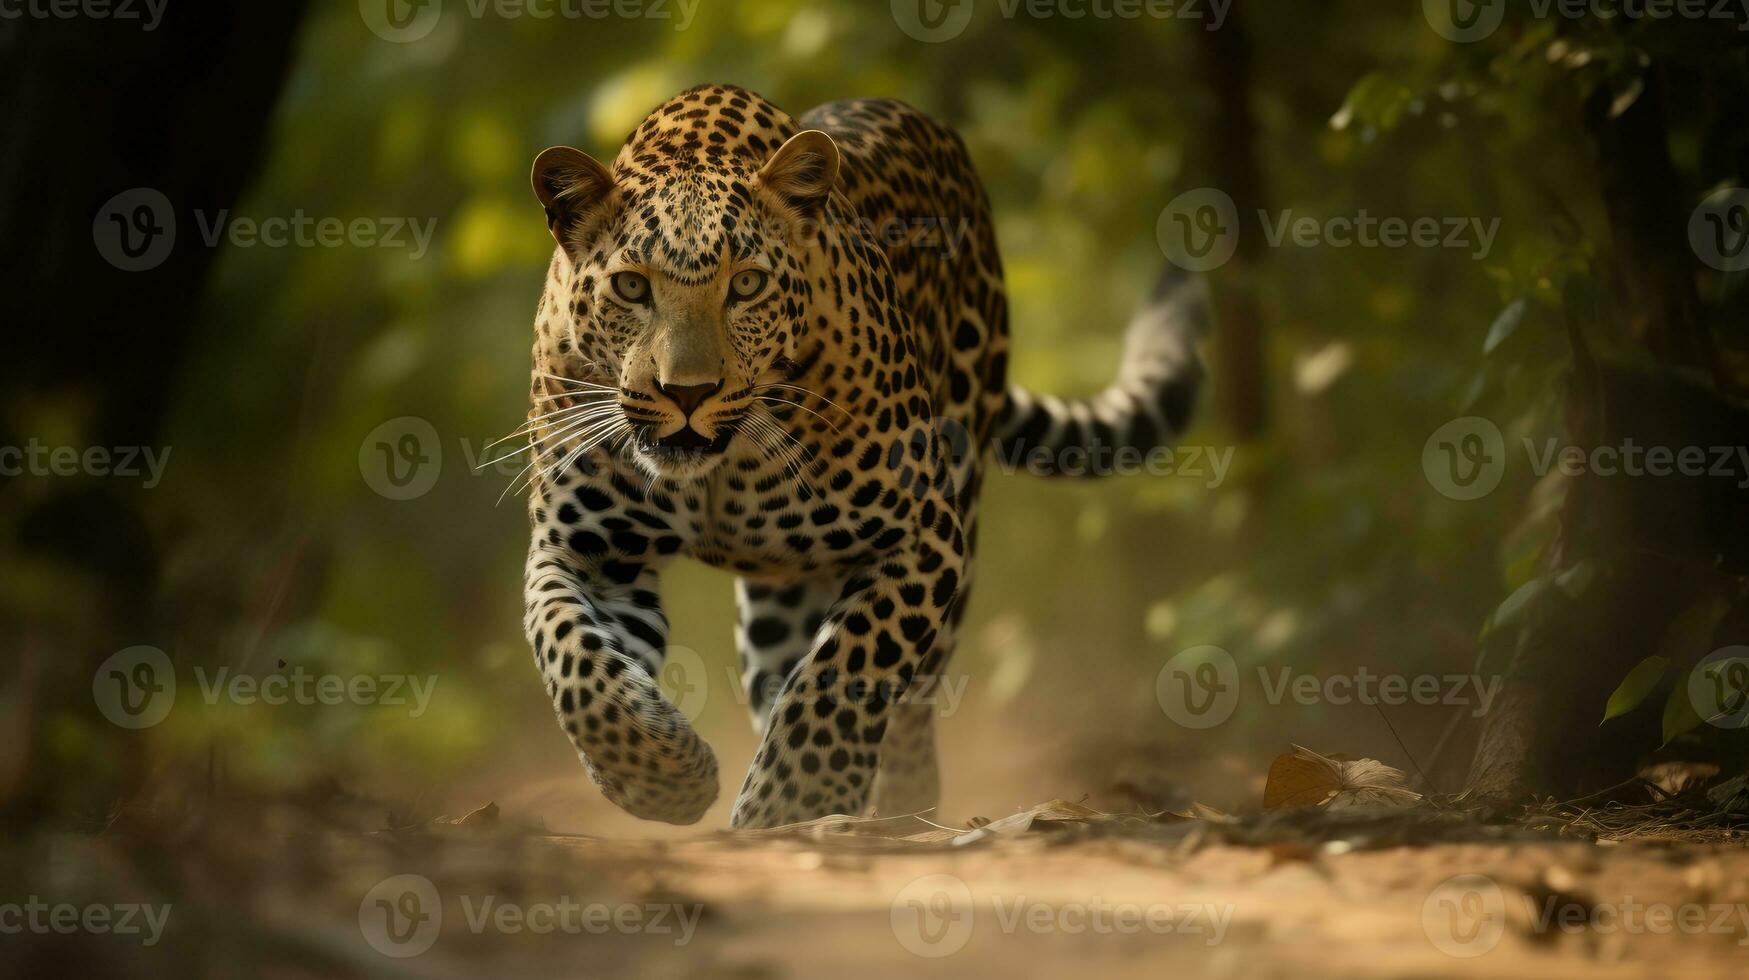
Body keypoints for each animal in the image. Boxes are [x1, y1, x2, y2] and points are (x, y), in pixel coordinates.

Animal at [514, 87, 1203, 829]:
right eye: (632, 288)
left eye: (746, 285)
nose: (688, 392)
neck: (717, 468)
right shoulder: (585, 551)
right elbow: (575, 663)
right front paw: (666, 777)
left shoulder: (924, 534)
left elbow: (846, 669)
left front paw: (790, 805)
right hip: (780, 597)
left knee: (909, 711)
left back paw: (895, 812)